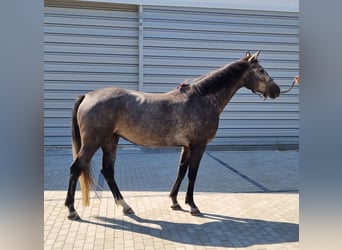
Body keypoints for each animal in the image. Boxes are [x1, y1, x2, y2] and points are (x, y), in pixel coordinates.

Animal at [64, 51, 280, 221]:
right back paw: (72, 210)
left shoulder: (186, 146)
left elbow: (181, 171)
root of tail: (88, 96)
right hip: (92, 143)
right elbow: (192, 174)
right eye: (261, 70)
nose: (276, 90)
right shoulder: (199, 146)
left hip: (110, 141)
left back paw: (125, 206)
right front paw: (192, 206)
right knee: (76, 168)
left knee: (108, 171)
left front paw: (175, 202)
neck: (202, 97)